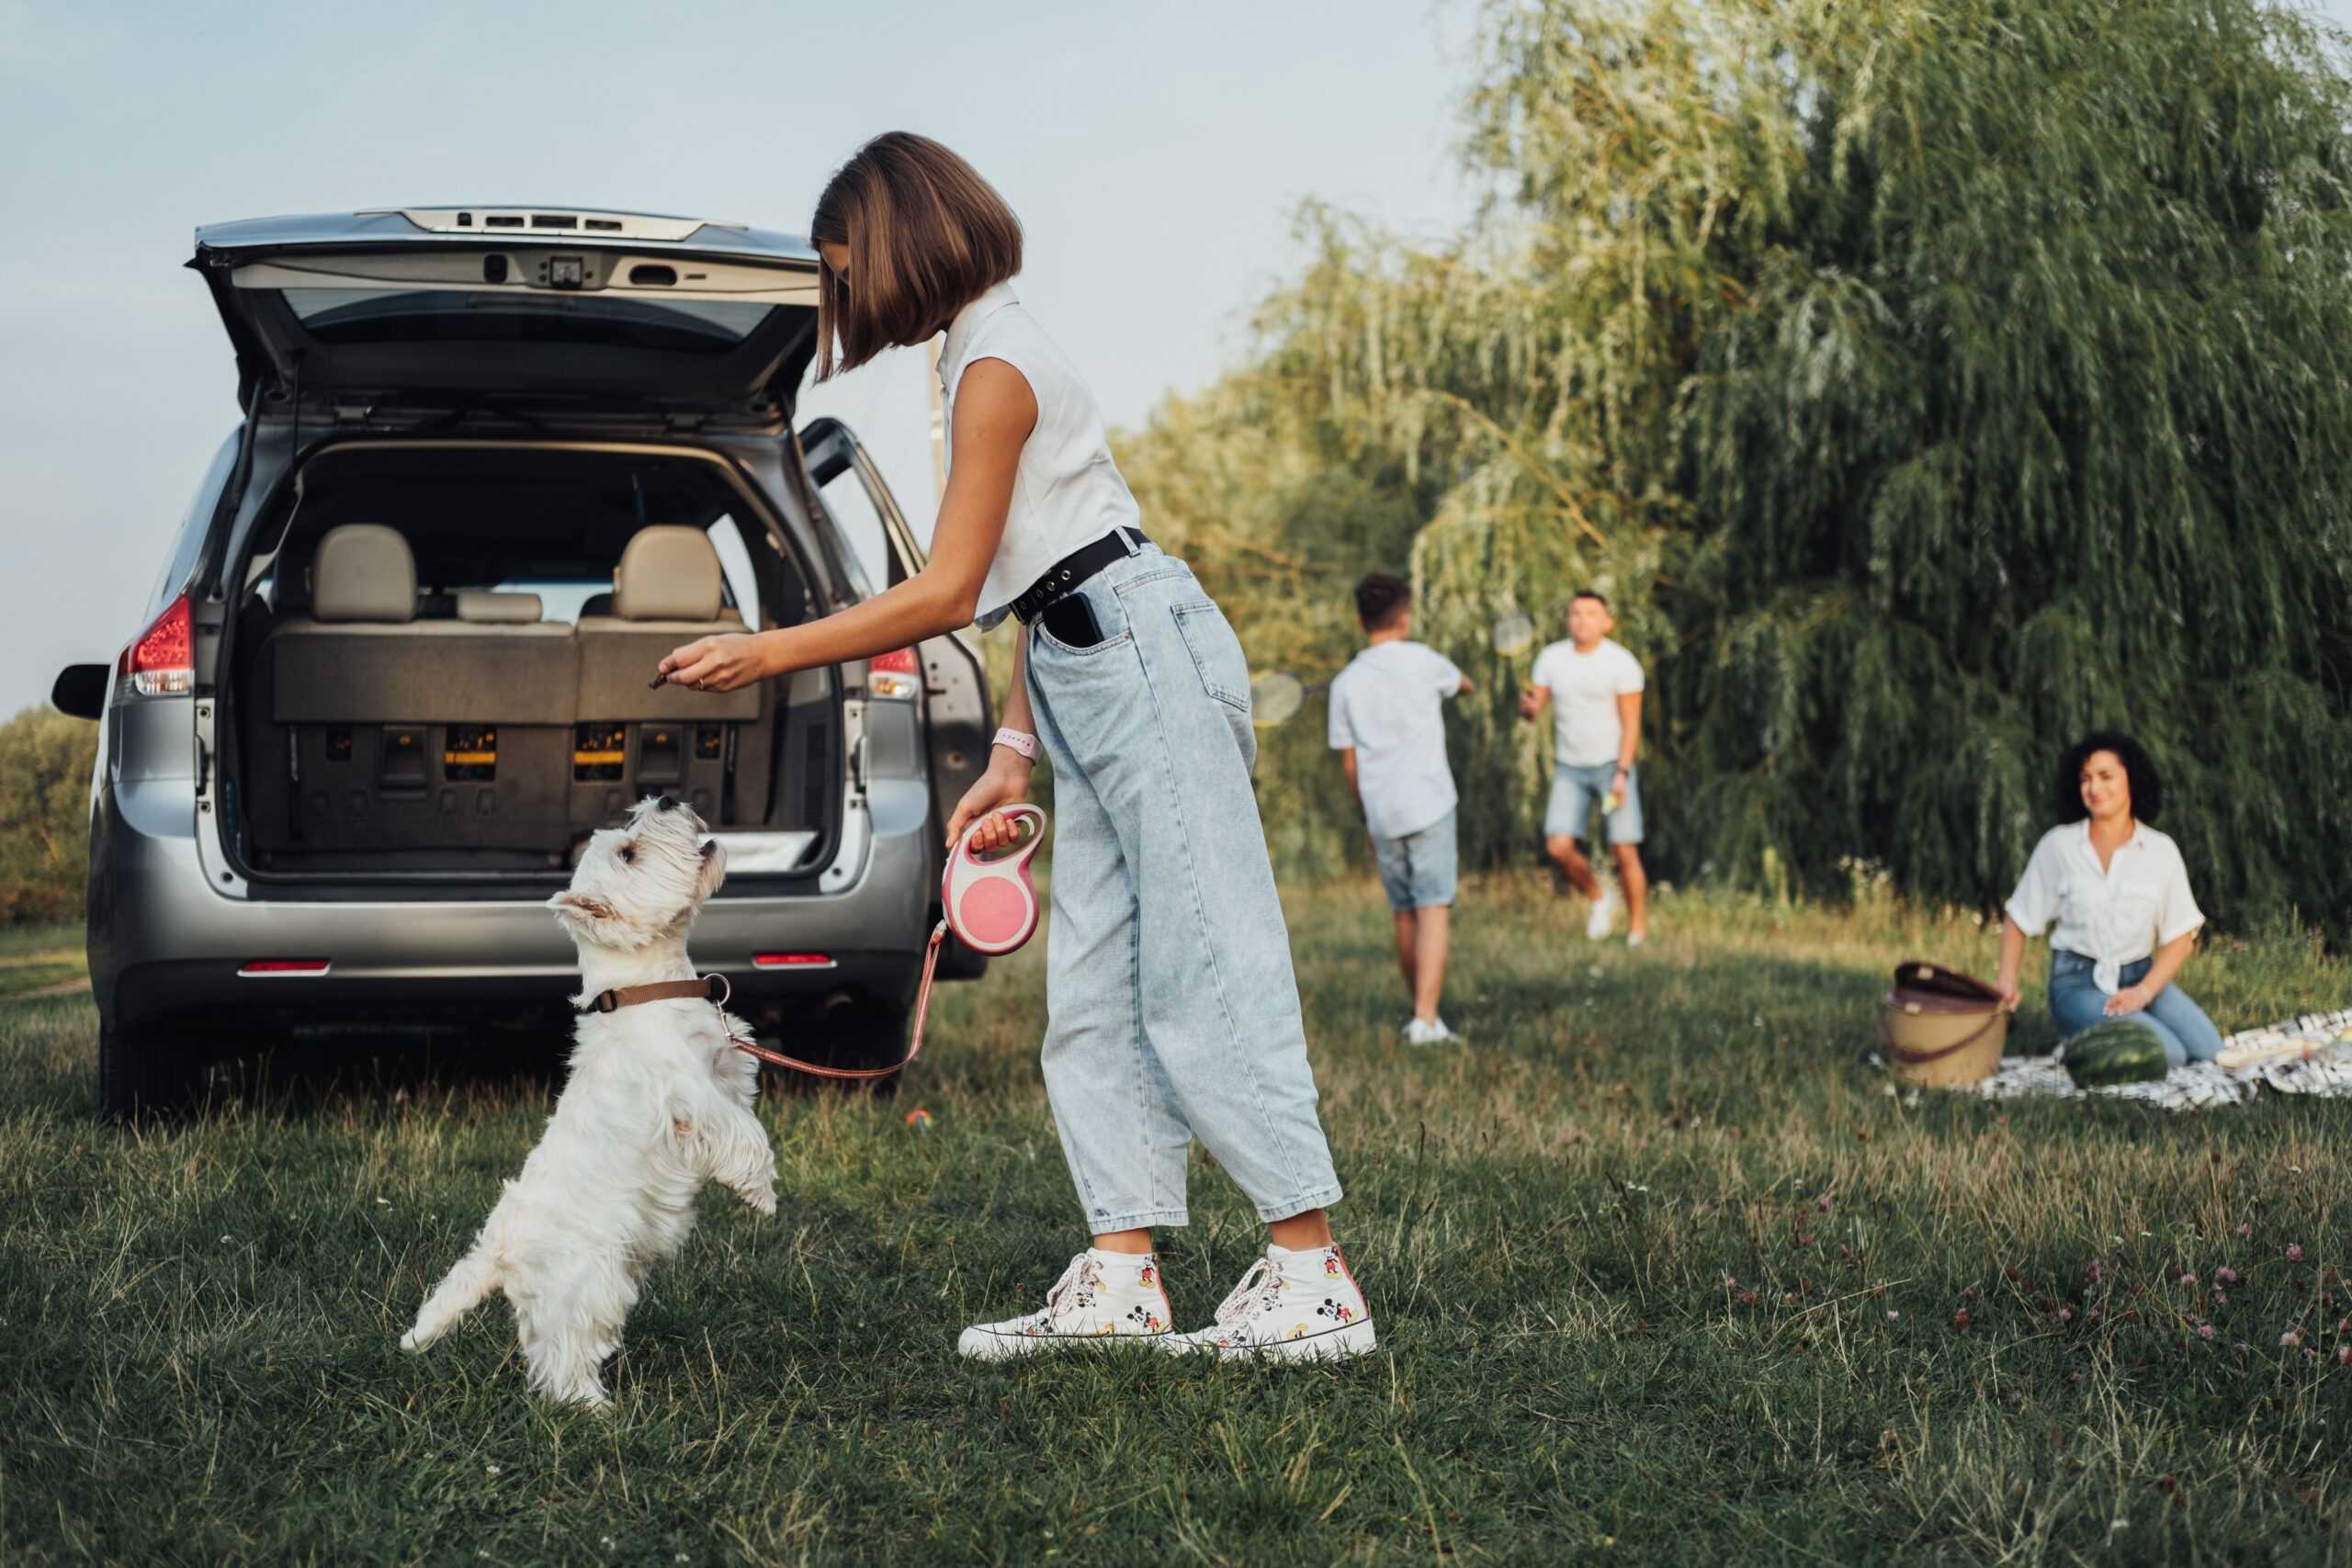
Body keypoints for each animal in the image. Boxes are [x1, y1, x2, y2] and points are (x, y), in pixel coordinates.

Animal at [400, 799, 775, 1410]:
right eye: (628, 852)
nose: (667, 800)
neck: (648, 990)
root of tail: (500, 1252)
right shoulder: (690, 1096)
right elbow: (744, 1135)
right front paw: (762, 1194)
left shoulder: (725, 1070)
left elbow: (744, 1114)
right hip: (590, 1283)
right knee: (562, 1357)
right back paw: (593, 1408)